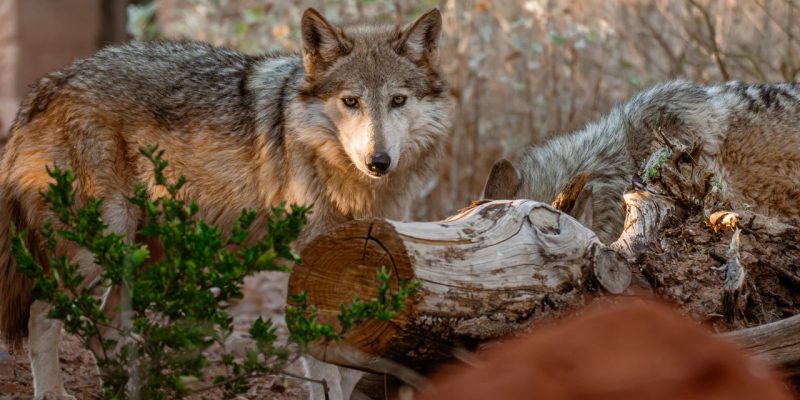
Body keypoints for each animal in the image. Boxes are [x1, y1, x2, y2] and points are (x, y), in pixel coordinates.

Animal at [0, 8, 450, 400]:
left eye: (397, 101)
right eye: (351, 101)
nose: (379, 161)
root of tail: (46, 85)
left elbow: (351, 363)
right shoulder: (309, 265)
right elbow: (326, 365)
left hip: (145, 255)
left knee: (104, 325)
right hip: (99, 246)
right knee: (42, 311)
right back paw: (53, 391)